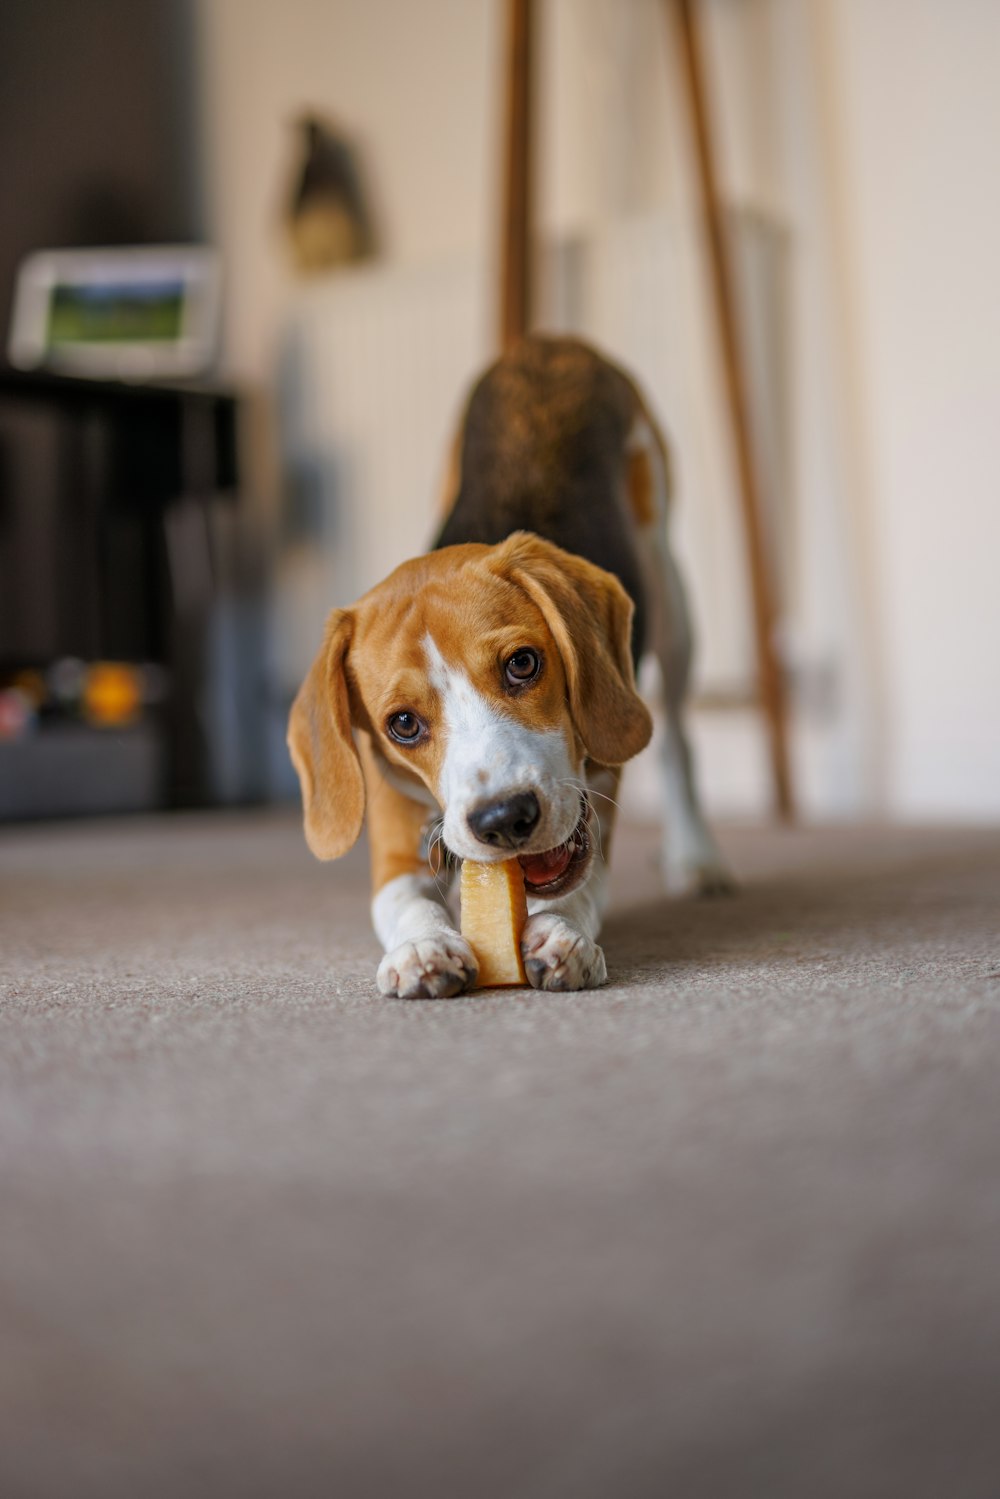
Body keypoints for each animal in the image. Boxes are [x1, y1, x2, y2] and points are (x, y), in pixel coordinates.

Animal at [289, 335, 728, 1001]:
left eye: (523, 664)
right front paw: (423, 947)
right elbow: (403, 898)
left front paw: (563, 936)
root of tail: (552, 343)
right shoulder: (392, 821)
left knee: (678, 738)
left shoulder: (595, 801)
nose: (504, 820)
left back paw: (695, 855)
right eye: (402, 725)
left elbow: (583, 885)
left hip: (669, 591)